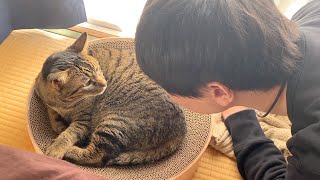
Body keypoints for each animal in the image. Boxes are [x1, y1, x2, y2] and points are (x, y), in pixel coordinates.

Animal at [34, 32, 186, 166]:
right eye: (87, 83)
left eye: (97, 69)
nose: (104, 83)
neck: (63, 103)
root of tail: (180, 131)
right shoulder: (43, 96)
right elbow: (51, 111)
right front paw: (58, 124)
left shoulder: (84, 120)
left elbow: (68, 134)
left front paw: (56, 148)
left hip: (114, 122)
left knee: (98, 156)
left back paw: (72, 151)